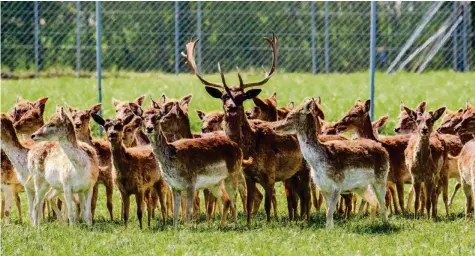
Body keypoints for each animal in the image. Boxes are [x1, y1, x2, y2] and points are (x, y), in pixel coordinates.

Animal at [184, 33, 314, 223]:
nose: (231, 107)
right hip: (292, 174)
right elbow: (249, 202)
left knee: (307, 196)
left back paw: (306, 219)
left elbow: (267, 203)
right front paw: (248, 223)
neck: (250, 147)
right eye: (224, 96)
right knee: (300, 196)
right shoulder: (248, 176)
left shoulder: (270, 173)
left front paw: (268, 222)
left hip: (305, 168)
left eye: (242, 97)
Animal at [274, 99, 388, 229]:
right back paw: (372, 223)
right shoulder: (323, 187)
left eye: (290, 116)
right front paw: (329, 229)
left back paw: (386, 225)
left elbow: (330, 211)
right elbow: (328, 211)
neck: (318, 162)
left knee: (383, 204)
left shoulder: (336, 185)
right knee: (373, 201)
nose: (275, 127)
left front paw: (330, 229)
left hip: (381, 179)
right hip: (361, 186)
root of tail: (383, 148)